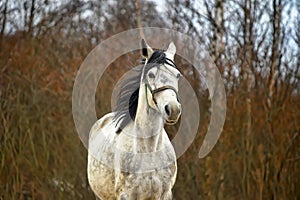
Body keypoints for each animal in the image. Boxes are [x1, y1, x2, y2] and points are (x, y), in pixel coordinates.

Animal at [86, 39, 180, 199]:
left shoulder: (164, 195)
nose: (173, 109)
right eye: (151, 75)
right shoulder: (126, 195)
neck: (149, 150)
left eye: (178, 75)